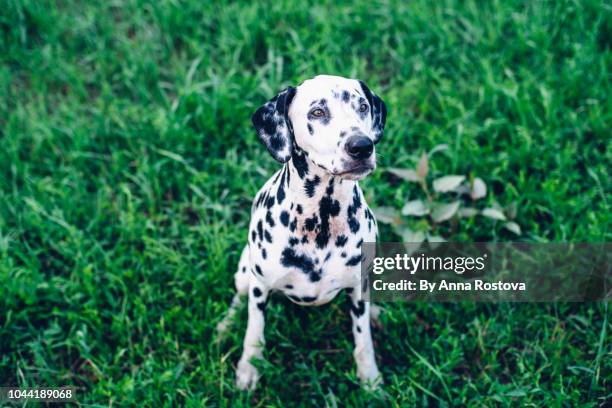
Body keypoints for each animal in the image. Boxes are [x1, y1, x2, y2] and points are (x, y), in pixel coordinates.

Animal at [218, 75, 384, 390]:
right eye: (317, 112)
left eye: (362, 106)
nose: (362, 146)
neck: (321, 219)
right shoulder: (260, 287)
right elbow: (254, 332)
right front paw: (248, 369)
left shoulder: (358, 288)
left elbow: (364, 342)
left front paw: (370, 378)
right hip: (245, 271)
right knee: (238, 298)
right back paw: (225, 325)